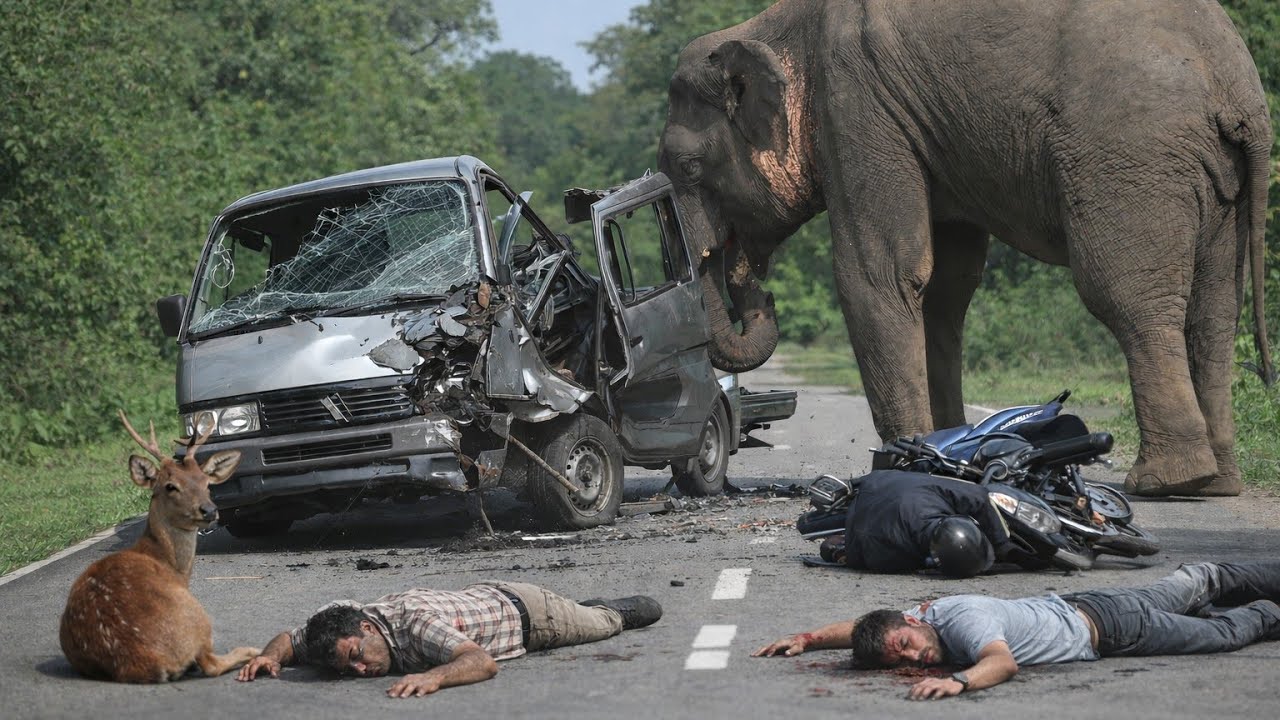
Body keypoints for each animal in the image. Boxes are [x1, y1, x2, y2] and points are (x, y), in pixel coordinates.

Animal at [657, 0, 1274, 497]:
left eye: (686, 167)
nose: (761, 289)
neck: (773, 24)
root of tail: (1240, 86)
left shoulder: (855, 104)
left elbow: (878, 273)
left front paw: (901, 468)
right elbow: (944, 291)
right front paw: (948, 452)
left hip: (1131, 155)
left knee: (1127, 300)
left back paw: (1166, 482)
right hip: (1214, 177)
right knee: (1215, 312)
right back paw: (1217, 483)